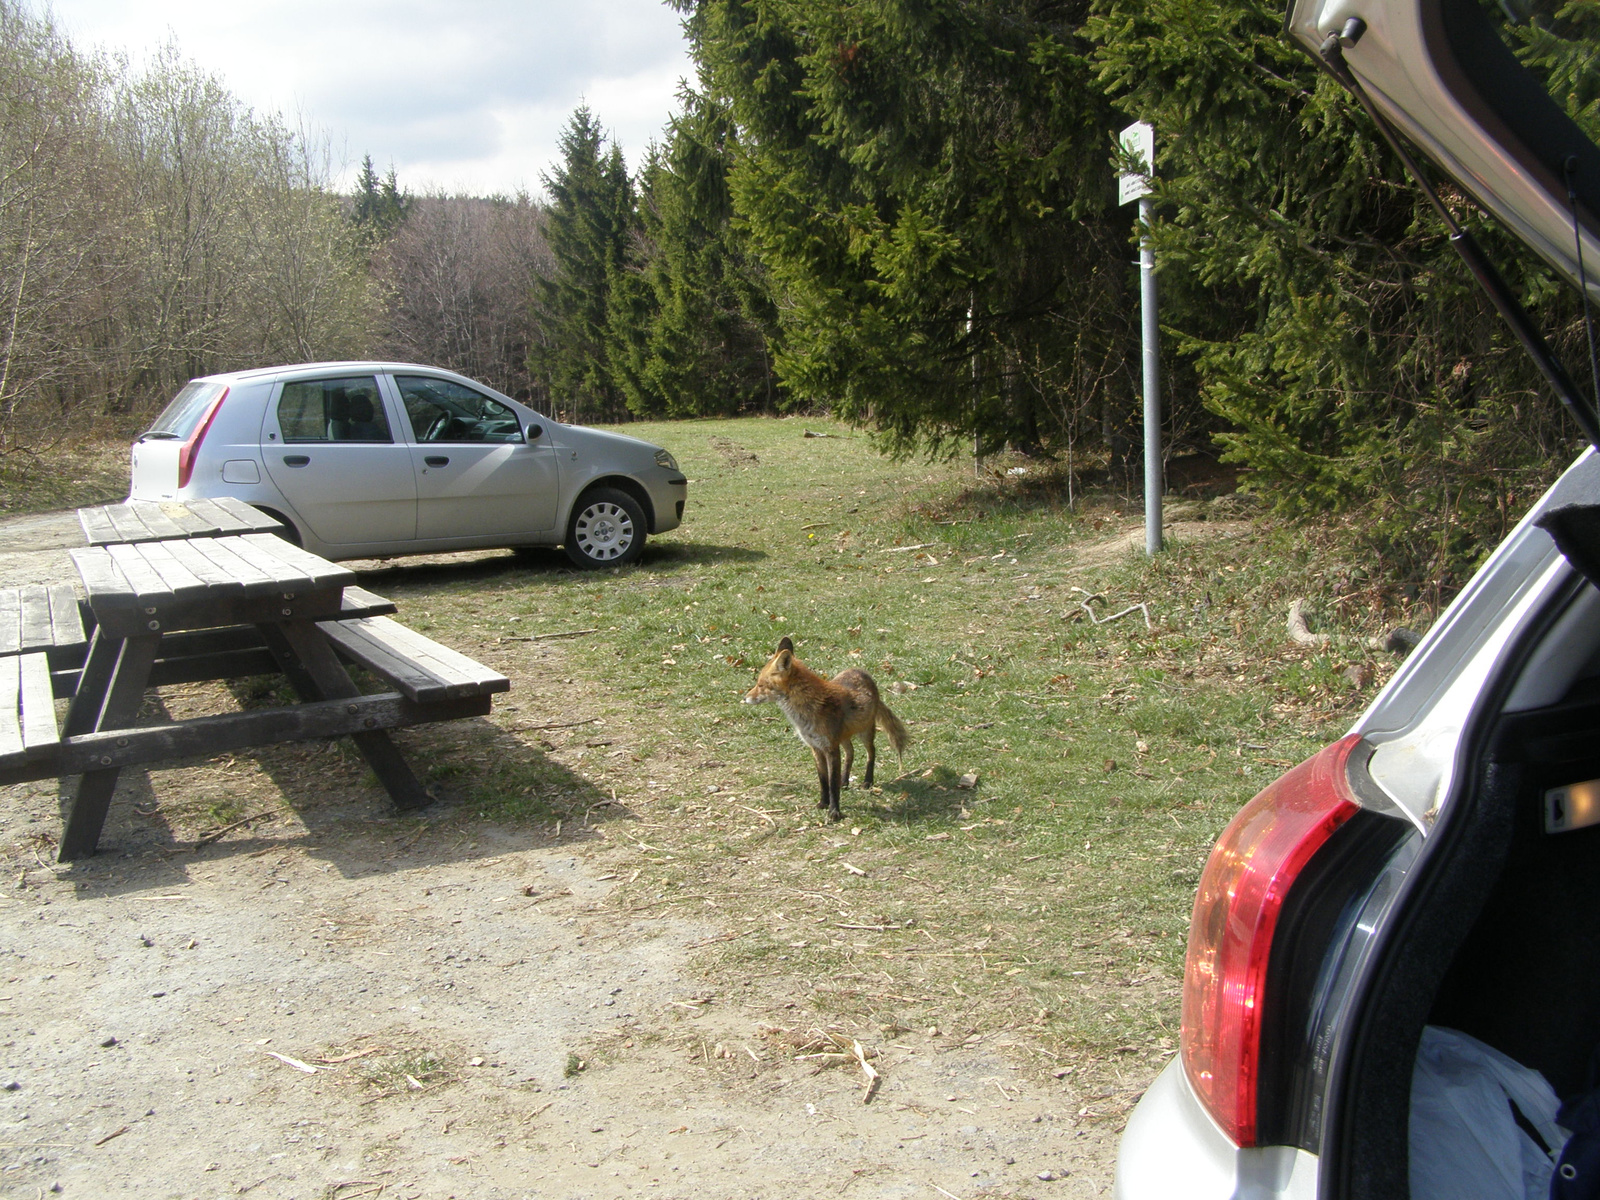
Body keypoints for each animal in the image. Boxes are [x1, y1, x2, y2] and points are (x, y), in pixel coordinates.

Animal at [742, 633, 908, 825]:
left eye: (761, 685)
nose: (744, 698)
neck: (807, 713)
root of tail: (861, 671)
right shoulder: (816, 748)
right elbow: (824, 781)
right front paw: (823, 803)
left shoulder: (830, 749)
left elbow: (832, 784)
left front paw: (834, 811)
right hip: (844, 737)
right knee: (851, 753)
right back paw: (845, 780)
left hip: (865, 732)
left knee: (871, 752)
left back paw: (867, 781)